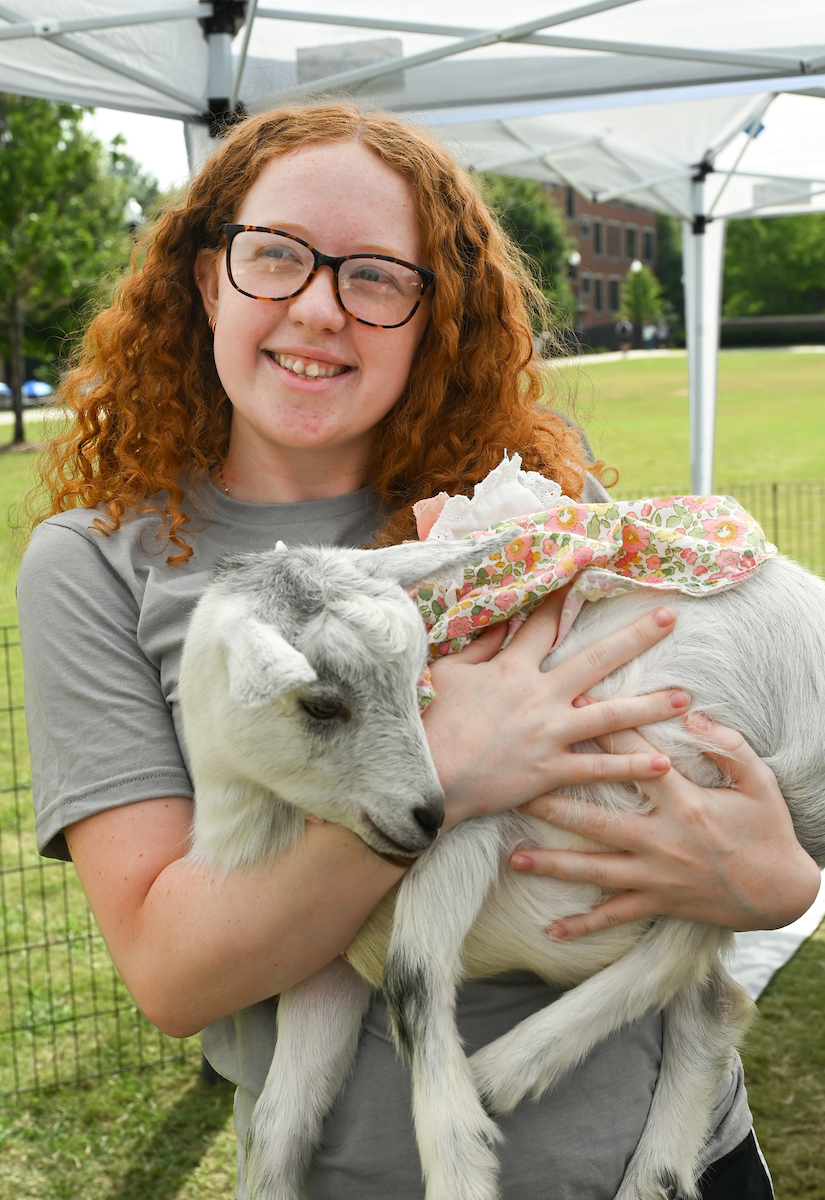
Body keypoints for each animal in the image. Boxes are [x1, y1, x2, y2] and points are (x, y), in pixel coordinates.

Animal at [179, 526, 825, 1200]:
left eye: (417, 677)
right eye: (322, 706)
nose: (429, 812)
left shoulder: (483, 816)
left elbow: (410, 976)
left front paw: (460, 1163)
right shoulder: (323, 958)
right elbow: (275, 1126)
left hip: (705, 773)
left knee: (693, 935)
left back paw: (502, 1073)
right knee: (714, 1000)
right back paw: (652, 1171)